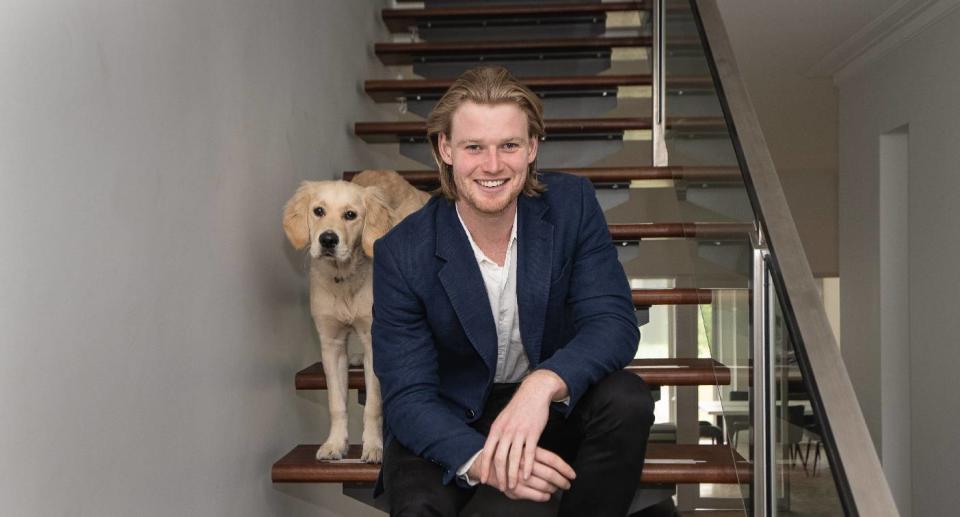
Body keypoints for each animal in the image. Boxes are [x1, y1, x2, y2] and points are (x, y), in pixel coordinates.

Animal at [280, 171, 426, 462]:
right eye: (318, 211)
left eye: (350, 215)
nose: (327, 240)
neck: (344, 278)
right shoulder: (331, 343)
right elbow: (336, 402)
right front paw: (335, 443)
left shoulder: (375, 341)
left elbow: (373, 405)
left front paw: (373, 446)